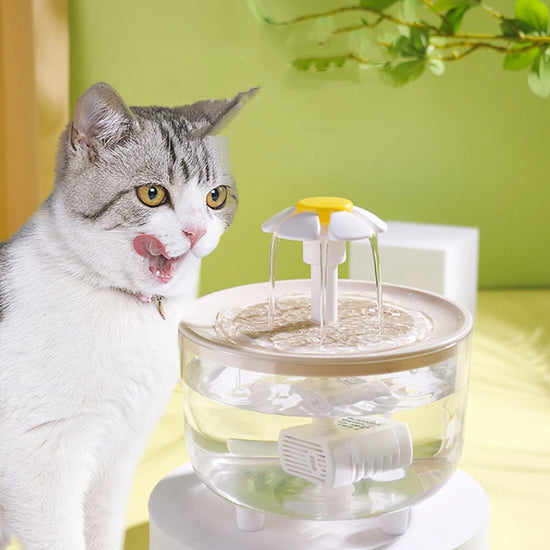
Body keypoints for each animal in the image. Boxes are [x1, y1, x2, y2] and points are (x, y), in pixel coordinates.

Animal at [0, 82, 258, 550]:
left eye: (215, 197)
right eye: (152, 194)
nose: (196, 231)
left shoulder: (116, 457)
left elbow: (103, 529)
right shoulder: (40, 459)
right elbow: (60, 537)